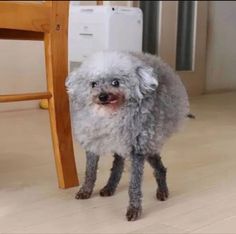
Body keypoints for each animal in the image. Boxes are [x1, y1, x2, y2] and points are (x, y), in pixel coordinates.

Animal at [65, 51, 189, 221]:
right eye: (93, 84)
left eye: (116, 82)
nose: (102, 96)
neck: (111, 114)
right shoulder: (93, 144)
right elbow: (90, 172)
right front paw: (86, 191)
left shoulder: (137, 149)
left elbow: (134, 185)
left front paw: (134, 209)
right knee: (118, 164)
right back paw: (109, 187)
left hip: (147, 144)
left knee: (160, 169)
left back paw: (162, 191)